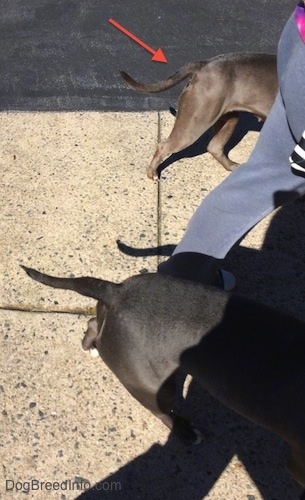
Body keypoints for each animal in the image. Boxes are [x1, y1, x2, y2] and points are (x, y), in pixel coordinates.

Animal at [22, 266, 304, 492]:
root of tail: (117, 291)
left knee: (93, 323)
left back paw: (90, 346)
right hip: (154, 385)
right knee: (162, 412)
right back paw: (186, 432)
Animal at [120, 51, 276, 178]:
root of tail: (204, 65)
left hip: (228, 118)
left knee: (214, 147)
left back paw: (232, 166)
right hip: (196, 122)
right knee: (164, 146)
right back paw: (152, 173)